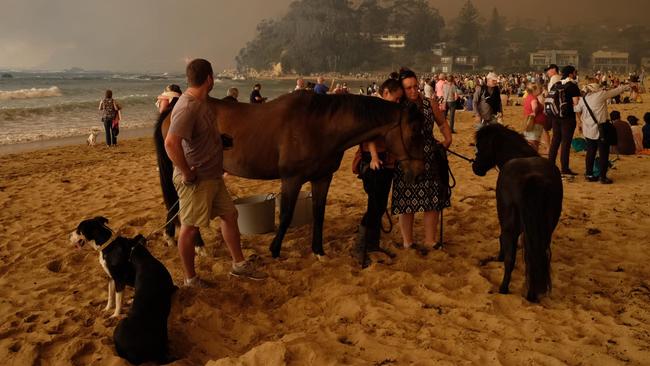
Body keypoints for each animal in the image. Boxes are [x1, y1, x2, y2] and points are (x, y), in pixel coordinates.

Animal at [154, 91, 422, 258]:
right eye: (413, 134)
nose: (418, 173)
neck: (319, 124)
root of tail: (175, 106)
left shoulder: (322, 178)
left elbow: (318, 214)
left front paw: (318, 251)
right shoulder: (291, 179)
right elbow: (285, 215)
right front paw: (274, 250)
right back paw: (198, 246)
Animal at [470, 124, 560, 302]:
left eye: (481, 146)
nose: (475, 167)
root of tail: (532, 178)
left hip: (510, 225)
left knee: (511, 258)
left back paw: (504, 288)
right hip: (546, 230)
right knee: (535, 257)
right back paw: (532, 294)